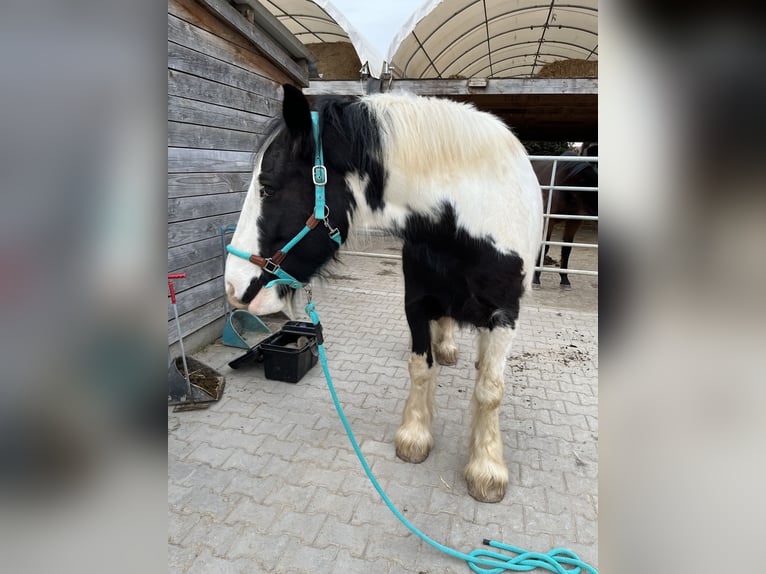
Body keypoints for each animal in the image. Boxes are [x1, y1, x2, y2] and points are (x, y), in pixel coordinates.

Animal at [225, 84, 542, 503]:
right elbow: (421, 369)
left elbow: (490, 390)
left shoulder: (504, 315)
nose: (231, 286)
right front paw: (415, 436)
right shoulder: (417, 305)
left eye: (268, 188)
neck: (470, 224)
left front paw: (487, 468)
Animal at [531, 148, 598, 288]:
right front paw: (536, 277)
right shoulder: (549, 220)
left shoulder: (574, 221)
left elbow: (567, 248)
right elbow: (545, 246)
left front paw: (565, 279)